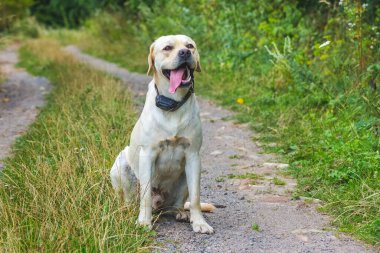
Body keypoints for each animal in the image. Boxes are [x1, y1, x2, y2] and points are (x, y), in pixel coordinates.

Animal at [110, 34, 214, 234]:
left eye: (190, 45)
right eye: (167, 48)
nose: (185, 52)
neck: (173, 103)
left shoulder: (193, 155)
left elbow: (196, 198)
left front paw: (200, 223)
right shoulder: (147, 154)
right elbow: (145, 197)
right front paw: (144, 222)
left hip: (185, 176)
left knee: (178, 204)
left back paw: (180, 213)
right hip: (121, 164)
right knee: (131, 200)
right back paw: (128, 210)